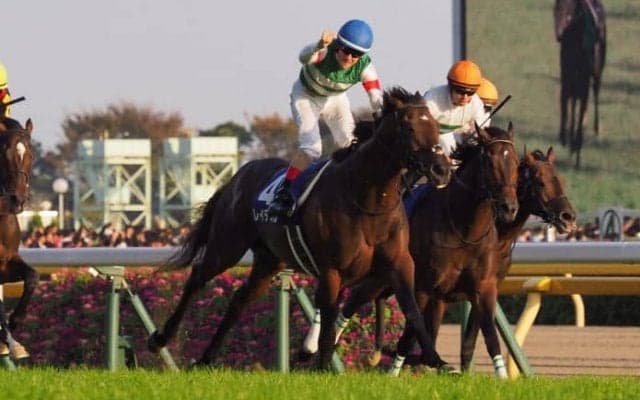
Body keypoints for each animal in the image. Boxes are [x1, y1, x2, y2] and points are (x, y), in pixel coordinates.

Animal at [147, 87, 453, 370]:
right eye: (409, 128)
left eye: (436, 127)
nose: (441, 169)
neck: (367, 200)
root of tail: (239, 174)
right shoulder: (332, 270)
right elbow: (328, 320)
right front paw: (323, 367)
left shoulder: (400, 265)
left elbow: (413, 311)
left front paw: (437, 360)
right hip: (227, 245)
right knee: (197, 277)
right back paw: (160, 338)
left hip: (269, 260)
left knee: (239, 301)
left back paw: (206, 359)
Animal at [334, 123, 520, 376]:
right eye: (490, 162)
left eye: (516, 163)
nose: (509, 207)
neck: (464, 231)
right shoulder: (423, 287)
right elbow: (409, 334)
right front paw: (395, 372)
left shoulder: (484, 288)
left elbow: (490, 337)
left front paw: (501, 376)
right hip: (383, 276)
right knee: (354, 301)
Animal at [555, 0, 606, 168]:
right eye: (556, 7)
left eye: (570, 9)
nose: (559, 35)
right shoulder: (567, 74)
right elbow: (566, 101)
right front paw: (565, 138)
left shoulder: (584, 77)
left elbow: (581, 106)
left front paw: (577, 146)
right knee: (573, 101)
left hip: (596, 74)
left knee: (594, 94)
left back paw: (595, 129)